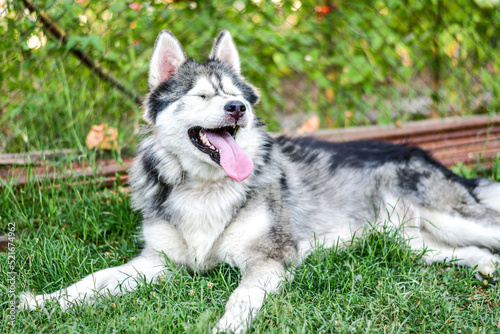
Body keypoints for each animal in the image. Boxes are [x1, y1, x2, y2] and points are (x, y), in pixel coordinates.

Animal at [21, 30, 500, 332]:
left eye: (235, 94)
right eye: (201, 95)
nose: (238, 108)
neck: (207, 188)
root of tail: (423, 151)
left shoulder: (268, 261)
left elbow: (241, 298)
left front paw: (226, 326)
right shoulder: (157, 262)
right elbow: (94, 279)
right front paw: (43, 302)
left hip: (447, 218)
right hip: (409, 240)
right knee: (467, 251)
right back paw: (486, 267)